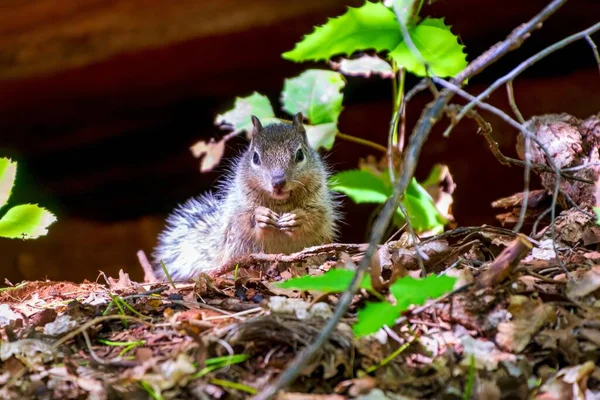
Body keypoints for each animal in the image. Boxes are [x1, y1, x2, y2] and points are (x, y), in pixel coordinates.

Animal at [151, 112, 342, 282]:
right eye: (255, 157)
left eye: (300, 154)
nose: (278, 182)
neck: (280, 202)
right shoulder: (239, 204)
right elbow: (243, 219)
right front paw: (260, 216)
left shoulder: (319, 200)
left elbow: (316, 216)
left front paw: (297, 217)